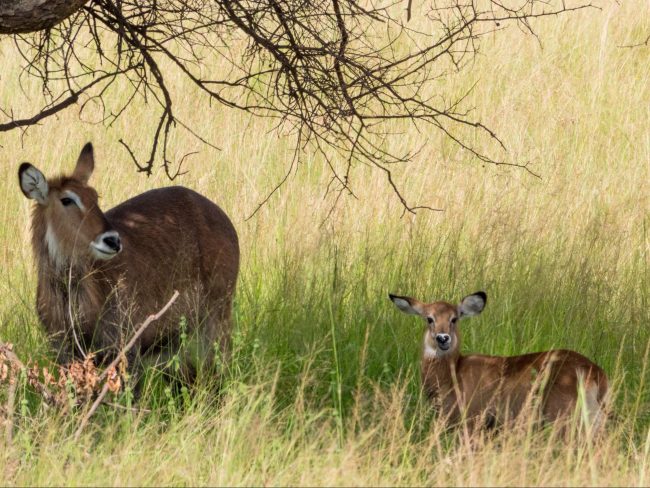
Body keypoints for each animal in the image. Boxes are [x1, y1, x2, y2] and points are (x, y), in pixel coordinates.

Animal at [19, 143, 239, 380]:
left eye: (95, 197)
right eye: (66, 199)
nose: (113, 240)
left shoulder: (127, 349)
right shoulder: (64, 354)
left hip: (217, 319)